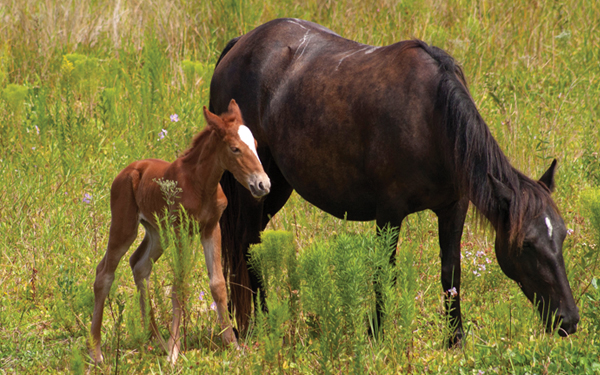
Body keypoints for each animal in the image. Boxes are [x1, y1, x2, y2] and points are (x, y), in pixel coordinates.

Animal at [90, 100, 270, 364]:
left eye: (256, 145)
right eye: (235, 149)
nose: (263, 184)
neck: (201, 184)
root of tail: (129, 170)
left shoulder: (211, 229)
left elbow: (218, 284)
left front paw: (233, 346)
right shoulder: (181, 231)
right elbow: (180, 285)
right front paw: (174, 353)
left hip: (157, 233)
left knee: (139, 265)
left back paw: (156, 339)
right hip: (125, 226)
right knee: (104, 273)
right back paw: (97, 352)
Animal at [210, 19, 580, 344]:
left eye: (562, 236)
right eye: (527, 244)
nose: (569, 320)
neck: (431, 118)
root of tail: (239, 44)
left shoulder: (453, 209)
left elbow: (451, 273)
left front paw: (455, 339)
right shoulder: (389, 213)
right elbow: (383, 272)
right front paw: (376, 335)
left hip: (275, 186)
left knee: (254, 244)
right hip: (252, 187)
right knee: (246, 245)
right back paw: (257, 325)